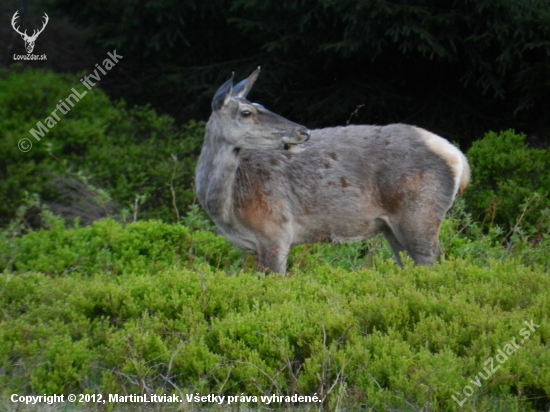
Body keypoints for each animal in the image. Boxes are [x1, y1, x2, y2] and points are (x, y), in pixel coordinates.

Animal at [196, 67, 472, 274]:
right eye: (247, 111)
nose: (303, 131)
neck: (227, 208)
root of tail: (458, 158)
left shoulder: (276, 230)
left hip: (420, 213)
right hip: (393, 228)